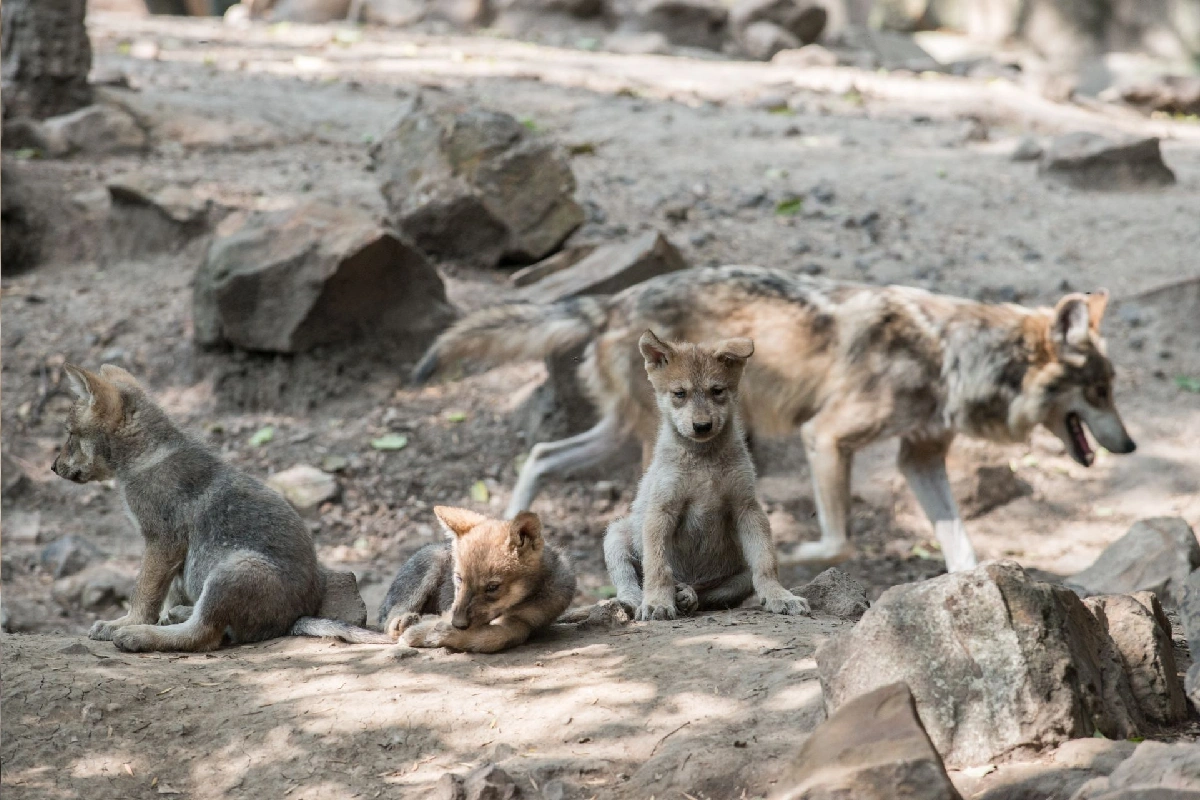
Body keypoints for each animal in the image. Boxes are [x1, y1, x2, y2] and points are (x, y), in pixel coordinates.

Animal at [51, 363, 387, 651]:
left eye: (70, 435)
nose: (53, 467)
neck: (147, 457)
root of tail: (294, 619)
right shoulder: (175, 556)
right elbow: (164, 595)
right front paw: (157, 614)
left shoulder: (162, 542)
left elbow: (143, 595)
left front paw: (123, 624)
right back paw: (178, 615)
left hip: (231, 570)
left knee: (203, 635)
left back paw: (139, 635)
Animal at [378, 506, 576, 653]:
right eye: (459, 578)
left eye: (492, 587)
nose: (458, 624)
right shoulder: (453, 608)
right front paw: (428, 631)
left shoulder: (524, 623)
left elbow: (495, 637)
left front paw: (436, 633)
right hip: (432, 562)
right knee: (390, 619)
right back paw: (406, 620)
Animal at [413, 265, 1136, 573]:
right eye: (1099, 391)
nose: (1129, 445)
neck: (949, 353)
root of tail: (612, 299)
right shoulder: (827, 437)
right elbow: (840, 540)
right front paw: (796, 552)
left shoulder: (920, 457)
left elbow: (963, 551)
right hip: (661, 442)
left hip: (623, 433)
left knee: (539, 455)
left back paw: (511, 530)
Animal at [605, 331, 808, 620]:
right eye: (679, 393)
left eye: (717, 391)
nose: (702, 426)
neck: (704, 461)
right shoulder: (662, 510)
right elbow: (657, 567)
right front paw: (656, 603)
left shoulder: (747, 507)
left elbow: (766, 563)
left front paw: (780, 596)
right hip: (616, 535)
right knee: (629, 579)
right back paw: (637, 600)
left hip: (738, 577)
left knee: (706, 595)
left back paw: (686, 595)